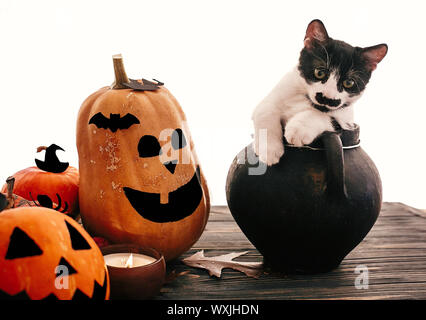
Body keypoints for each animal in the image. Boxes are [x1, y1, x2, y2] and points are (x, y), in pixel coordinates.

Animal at [251, 19, 388, 165]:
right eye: (320, 73)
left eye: (348, 83)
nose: (327, 98)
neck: (306, 99)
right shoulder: (277, 94)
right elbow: (265, 110)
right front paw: (269, 150)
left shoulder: (346, 120)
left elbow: (325, 117)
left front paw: (298, 129)